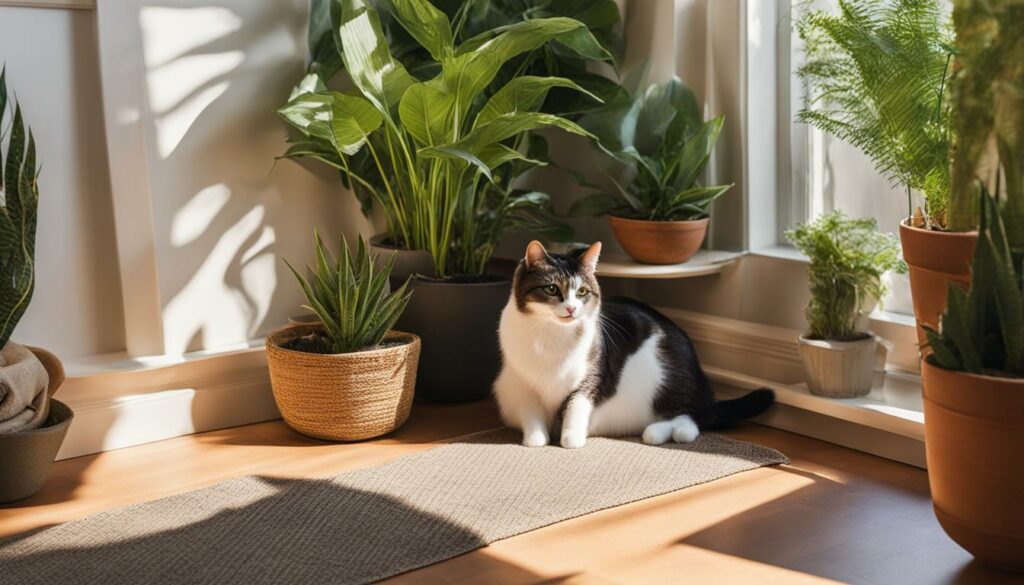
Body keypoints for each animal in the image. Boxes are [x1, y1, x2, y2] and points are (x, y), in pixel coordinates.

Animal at [491, 240, 770, 450]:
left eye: (582, 292)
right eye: (551, 289)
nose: (571, 309)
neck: (552, 334)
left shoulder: (592, 375)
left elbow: (577, 405)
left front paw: (571, 438)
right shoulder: (518, 384)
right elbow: (531, 412)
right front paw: (535, 439)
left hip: (667, 376)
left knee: (695, 416)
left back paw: (660, 432)